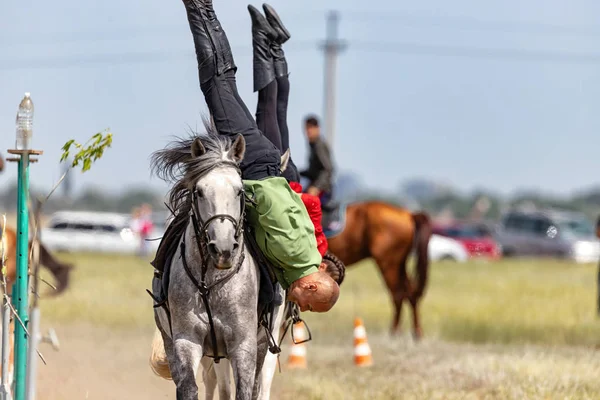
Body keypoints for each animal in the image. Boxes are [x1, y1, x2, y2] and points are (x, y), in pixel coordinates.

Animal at [324, 202, 432, 340]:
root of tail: (408, 214)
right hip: (400, 265)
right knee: (410, 293)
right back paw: (416, 333)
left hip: (389, 264)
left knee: (398, 294)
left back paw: (395, 332)